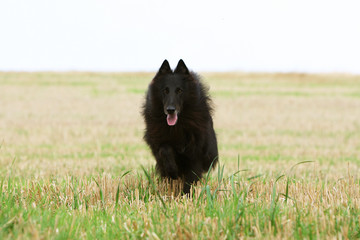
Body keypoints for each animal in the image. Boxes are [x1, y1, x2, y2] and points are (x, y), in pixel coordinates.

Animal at [142, 59, 218, 194]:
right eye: (165, 90)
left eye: (179, 90)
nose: (170, 110)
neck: (177, 127)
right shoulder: (159, 142)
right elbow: (165, 150)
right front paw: (173, 171)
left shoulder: (195, 153)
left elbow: (191, 178)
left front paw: (186, 195)